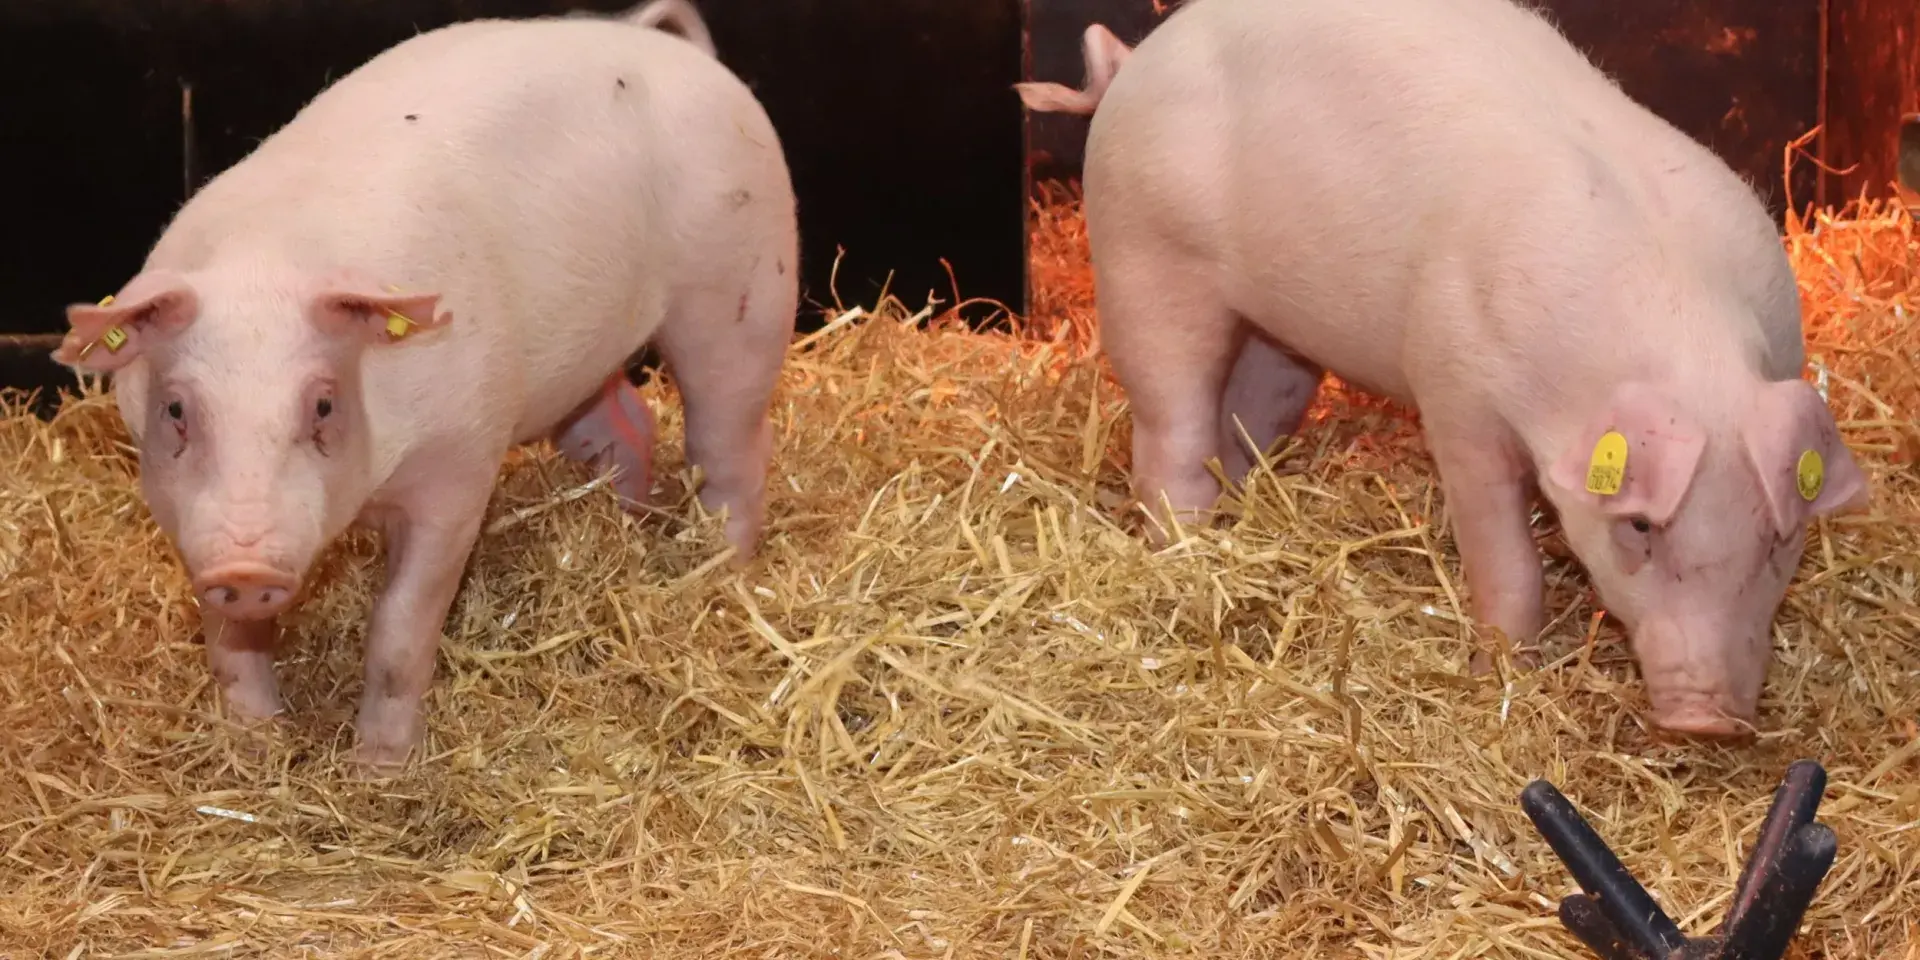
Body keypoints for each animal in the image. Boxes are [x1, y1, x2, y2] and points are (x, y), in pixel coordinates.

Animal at [53, 0, 798, 770]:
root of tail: (673, 48)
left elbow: (401, 629)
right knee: (627, 423)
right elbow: (230, 643)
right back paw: (629, 524)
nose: (247, 569)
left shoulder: (459, 470)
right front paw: (256, 745)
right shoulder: (180, 512)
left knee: (734, 444)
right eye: (176, 408)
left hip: (744, 290)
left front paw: (379, 769)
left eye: (323, 403)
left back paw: (720, 569)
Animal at [1015, 0, 1870, 736]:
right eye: (1639, 527)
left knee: (1250, 412)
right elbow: (1505, 559)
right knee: (1171, 427)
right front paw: (1501, 673)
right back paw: (1187, 552)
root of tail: (1134, 63)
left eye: (1777, 540)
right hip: (1144, 257)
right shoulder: (1457, 392)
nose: (1708, 722)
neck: (1678, 333)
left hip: (1276, 331)